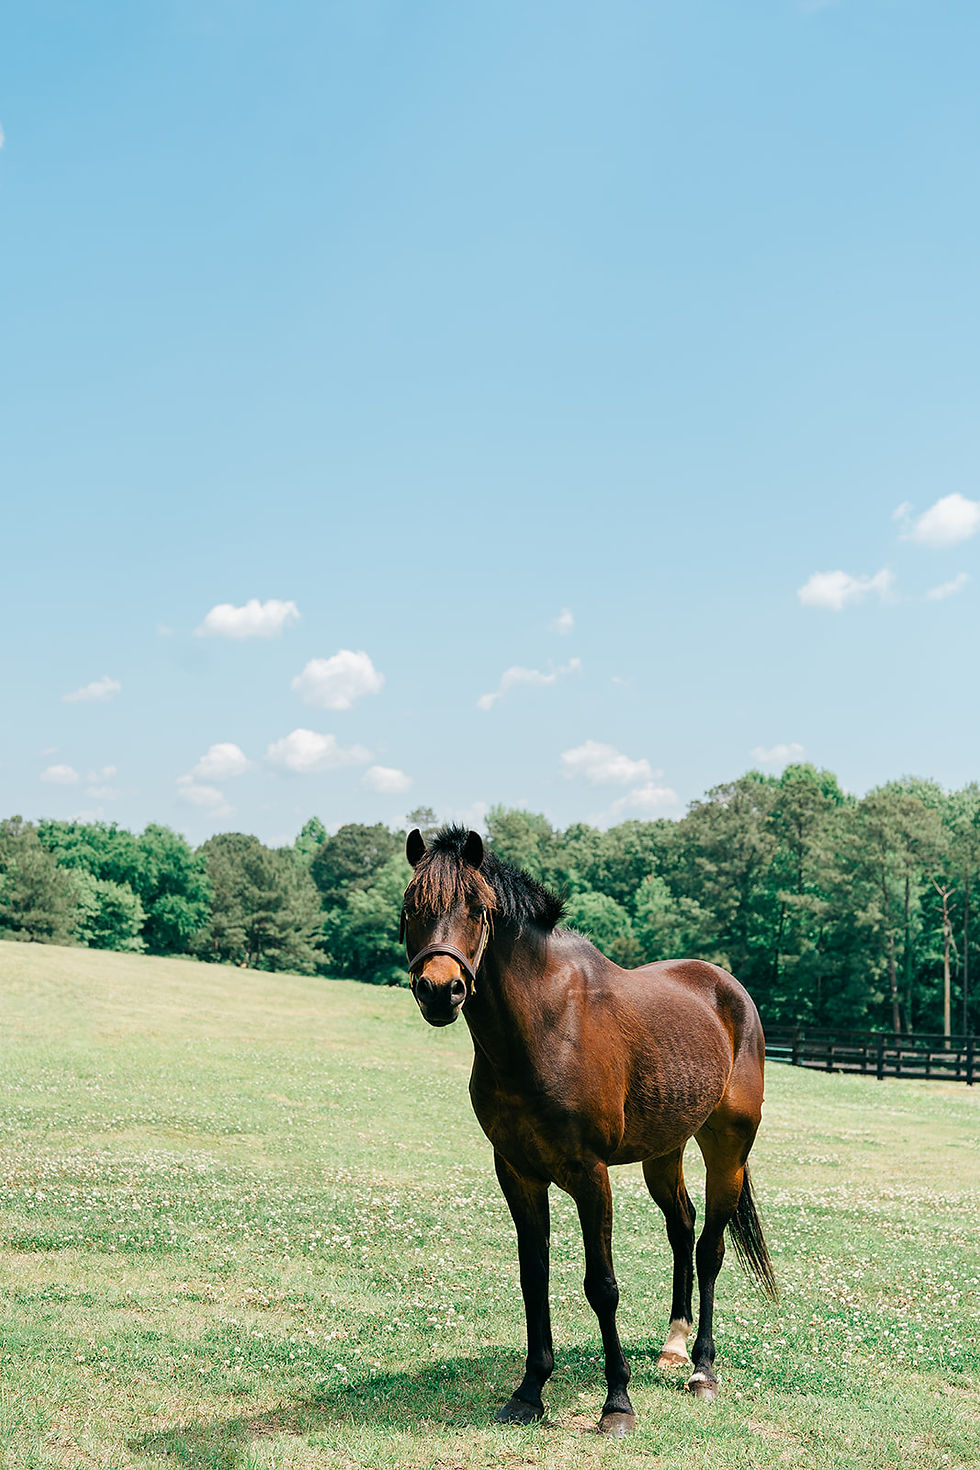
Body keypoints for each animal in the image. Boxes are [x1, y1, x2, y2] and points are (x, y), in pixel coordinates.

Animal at [400, 825, 776, 1436]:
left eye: (478, 910)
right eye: (411, 908)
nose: (440, 990)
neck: (548, 1026)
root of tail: (727, 988)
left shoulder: (588, 1174)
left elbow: (601, 1285)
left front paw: (617, 1402)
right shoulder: (518, 1172)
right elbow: (533, 1276)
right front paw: (529, 1392)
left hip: (728, 1149)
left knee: (709, 1248)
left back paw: (702, 1370)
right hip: (663, 1153)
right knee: (682, 1227)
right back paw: (673, 1346)